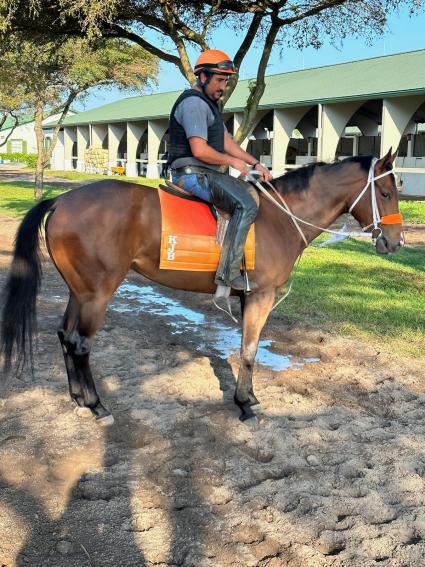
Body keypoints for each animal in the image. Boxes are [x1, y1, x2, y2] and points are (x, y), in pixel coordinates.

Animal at [0, 149, 402, 424]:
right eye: (385, 193)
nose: (395, 242)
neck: (280, 219)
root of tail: (61, 200)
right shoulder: (261, 295)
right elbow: (250, 351)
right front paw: (245, 404)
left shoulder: (248, 297)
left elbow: (245, 348)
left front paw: (247, 397)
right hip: (97, 293)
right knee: (81, 343)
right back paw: (98, 405)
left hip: (79, 291)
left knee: (65, 336)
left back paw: (78, 399)